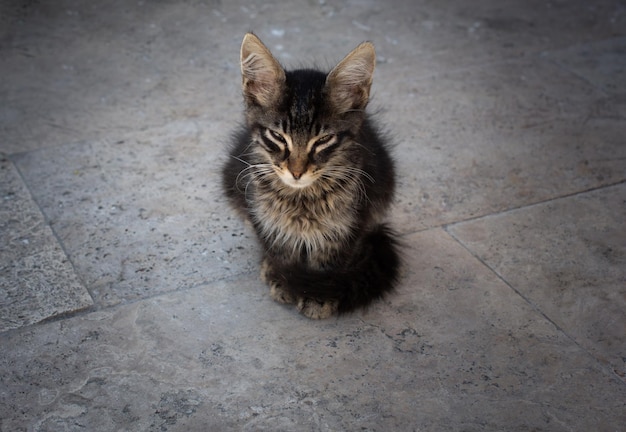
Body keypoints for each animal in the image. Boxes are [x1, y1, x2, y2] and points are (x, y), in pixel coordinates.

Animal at [222, 33, 398, 318]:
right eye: (278, 137)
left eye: (323, 140)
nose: (296, 171)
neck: (301, 198)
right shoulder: (268, 218)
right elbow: (280, 249)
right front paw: (284, 278)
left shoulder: (345, 226)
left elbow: (328, 264)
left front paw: (317, 294)